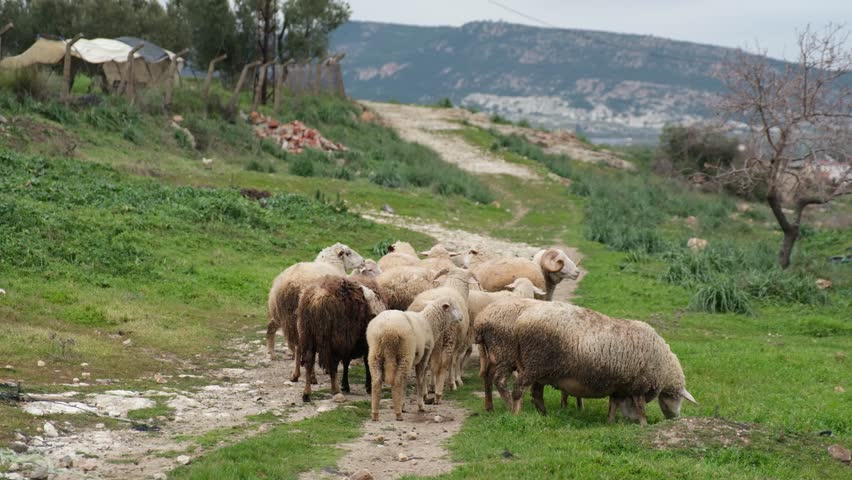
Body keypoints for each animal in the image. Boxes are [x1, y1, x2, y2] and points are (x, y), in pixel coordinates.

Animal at [266, 243, 365, 383]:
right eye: (348, 253)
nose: (363, 261)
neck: (332, 264)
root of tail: (291, 284)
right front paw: (327, 369)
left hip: (287, 317)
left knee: (293, 343)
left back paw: (292, 372)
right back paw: (312, 377)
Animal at [408, 268, 477, 401]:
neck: (455, 286)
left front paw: (432, 385)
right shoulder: (456, 343)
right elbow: (452, 362)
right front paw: (453, 383)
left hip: (427, 343)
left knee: (426, 366)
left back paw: (424, 392)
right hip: (448, 337)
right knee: (444, 363)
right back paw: (438, 394)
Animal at [510, 302, 697, 424]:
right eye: (677, 398)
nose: (675, 418)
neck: (663, 367)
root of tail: (520, 321)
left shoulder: (620, 387)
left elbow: (613, 405)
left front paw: (610, 422)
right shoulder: (639, 387)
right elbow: (641, 408)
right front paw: (644, 425)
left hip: (538, 370)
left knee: (536, 394)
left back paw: (544, 414)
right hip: (534, 364)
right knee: (519, 390)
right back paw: (516, 414)